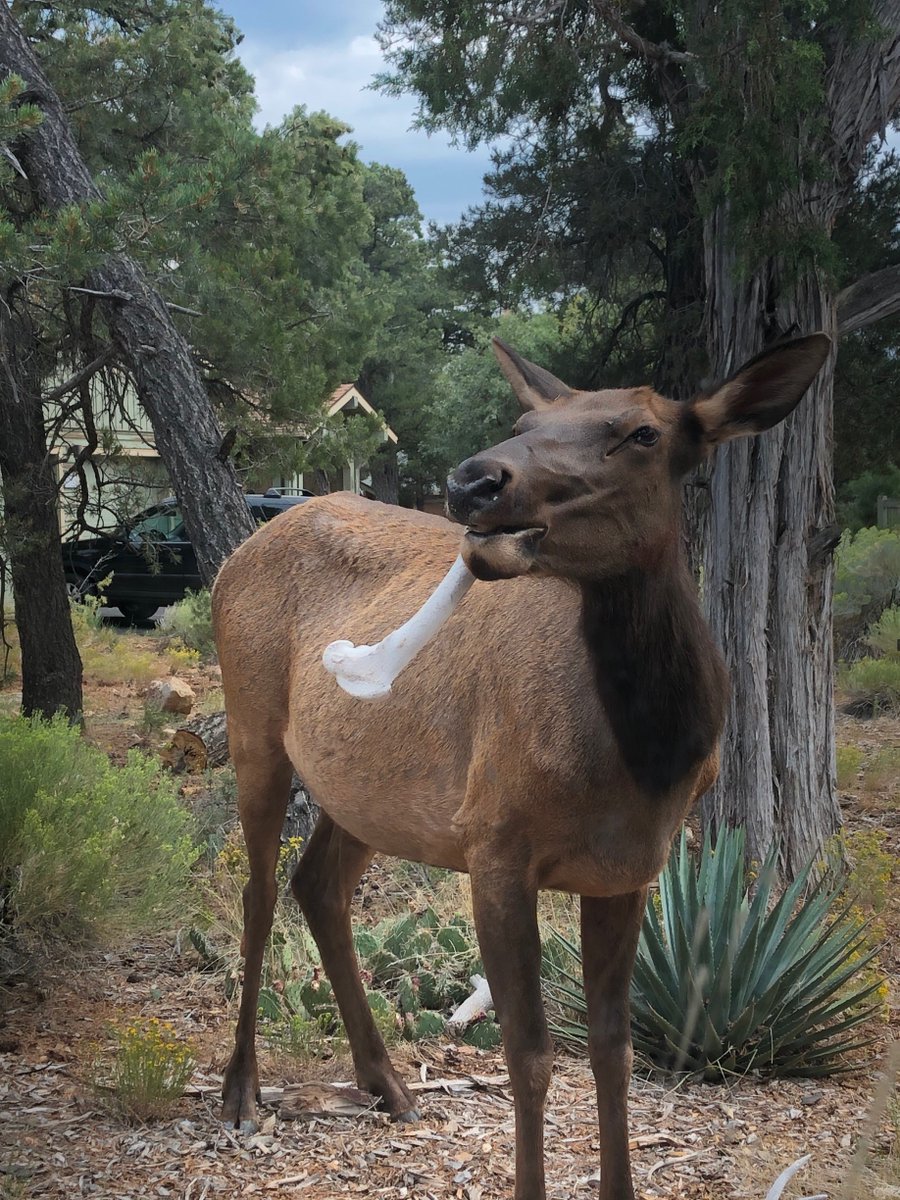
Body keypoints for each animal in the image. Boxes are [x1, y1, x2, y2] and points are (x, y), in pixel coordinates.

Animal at [212, 332, 831, 1200]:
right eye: (525, 420)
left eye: (644, 432)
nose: (473, 481)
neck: (648, 759)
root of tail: (242, 549)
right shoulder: (496, 843)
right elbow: (531, 1057)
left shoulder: (628, 870)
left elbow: (611, 1051)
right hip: (253, 726)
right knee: (260, 892)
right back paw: (241, 1092)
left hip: (367, 792)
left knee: (318, 885)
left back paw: (388, 1082)